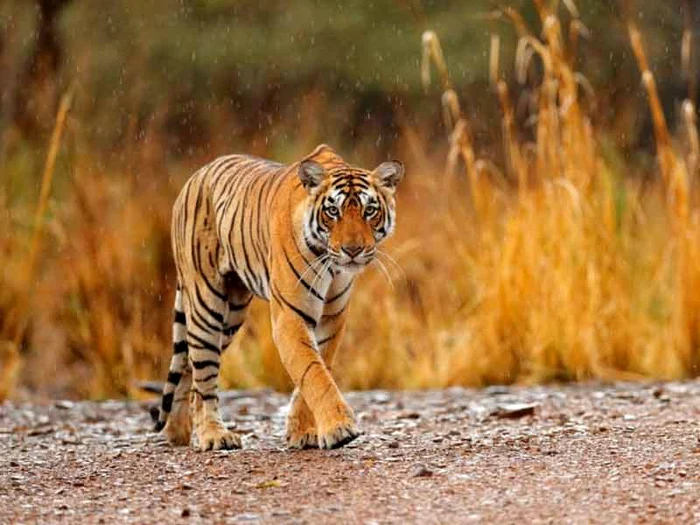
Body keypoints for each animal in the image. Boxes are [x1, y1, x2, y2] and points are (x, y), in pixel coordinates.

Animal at [153, 144, 404, 451]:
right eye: (333, 211)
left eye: (370, 211)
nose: (352, 250)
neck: (331, 265)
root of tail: (194, 176)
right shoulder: (291, 316)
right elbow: (313, 372)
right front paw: (340, 428)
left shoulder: (331, 318)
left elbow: (316, 369)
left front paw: (302, 431)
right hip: (206, 304)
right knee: (204, 376)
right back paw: (214, 435)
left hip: (232, 313)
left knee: (190, 368)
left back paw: (178, 433)